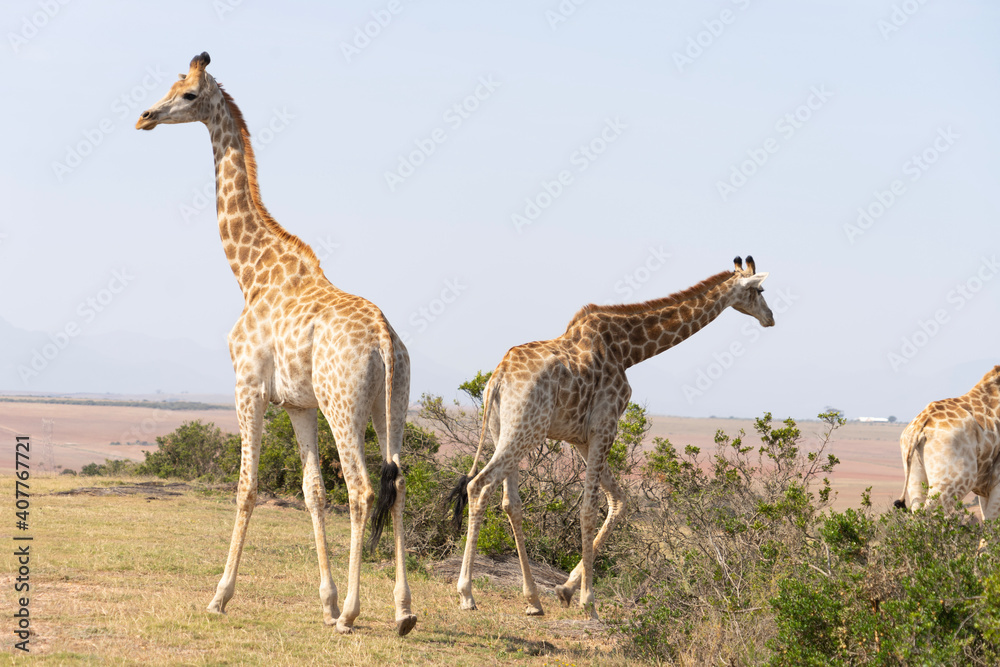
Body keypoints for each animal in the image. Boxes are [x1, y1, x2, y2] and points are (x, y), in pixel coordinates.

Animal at [135, 52, 417, 636]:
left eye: (188, 94)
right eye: (171, 84)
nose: (145, 116)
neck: (251, 273)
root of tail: (384, 338)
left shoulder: (248, 387)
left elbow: (247, 486)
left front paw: (220, 596)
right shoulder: (298, 405)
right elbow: (311, 492)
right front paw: (325, 600)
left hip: (343, 404)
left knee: (362, 488)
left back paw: (353, 614)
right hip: (392, 404)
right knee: (397, 483)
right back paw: (403, 613)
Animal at [449, 257, 774, 618]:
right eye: (759, 290)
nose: (770, 317)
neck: (628, 350)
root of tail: (498, 379)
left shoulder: (580, 437)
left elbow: (619, 501)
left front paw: (565, 589)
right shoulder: (605, 425)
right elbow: (590, 508)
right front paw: (588, 602)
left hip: (504, 431)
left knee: (510, 502)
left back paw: (533, 600)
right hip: (525, 430)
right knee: (479, 487)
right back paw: (466, 593)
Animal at [895, 366, 1000, 525]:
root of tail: (920, 425)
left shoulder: (986, 488)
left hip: (914, 475)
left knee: (917, 512)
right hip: (956, 479)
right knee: (929, 515)